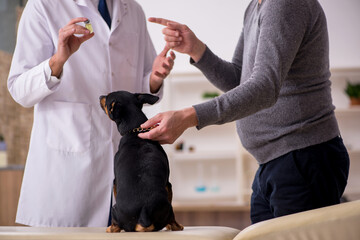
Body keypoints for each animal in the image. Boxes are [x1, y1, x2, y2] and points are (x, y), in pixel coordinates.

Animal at [99, 90, 183, 232]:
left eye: (107, 98)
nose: (100, 96)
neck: (135, 132)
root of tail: (144, 214)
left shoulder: (115, 181)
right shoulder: (168, 183)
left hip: (114, 209)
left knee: (116, 225)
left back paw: (110, 228)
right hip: (168, 205)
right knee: (172, 217)